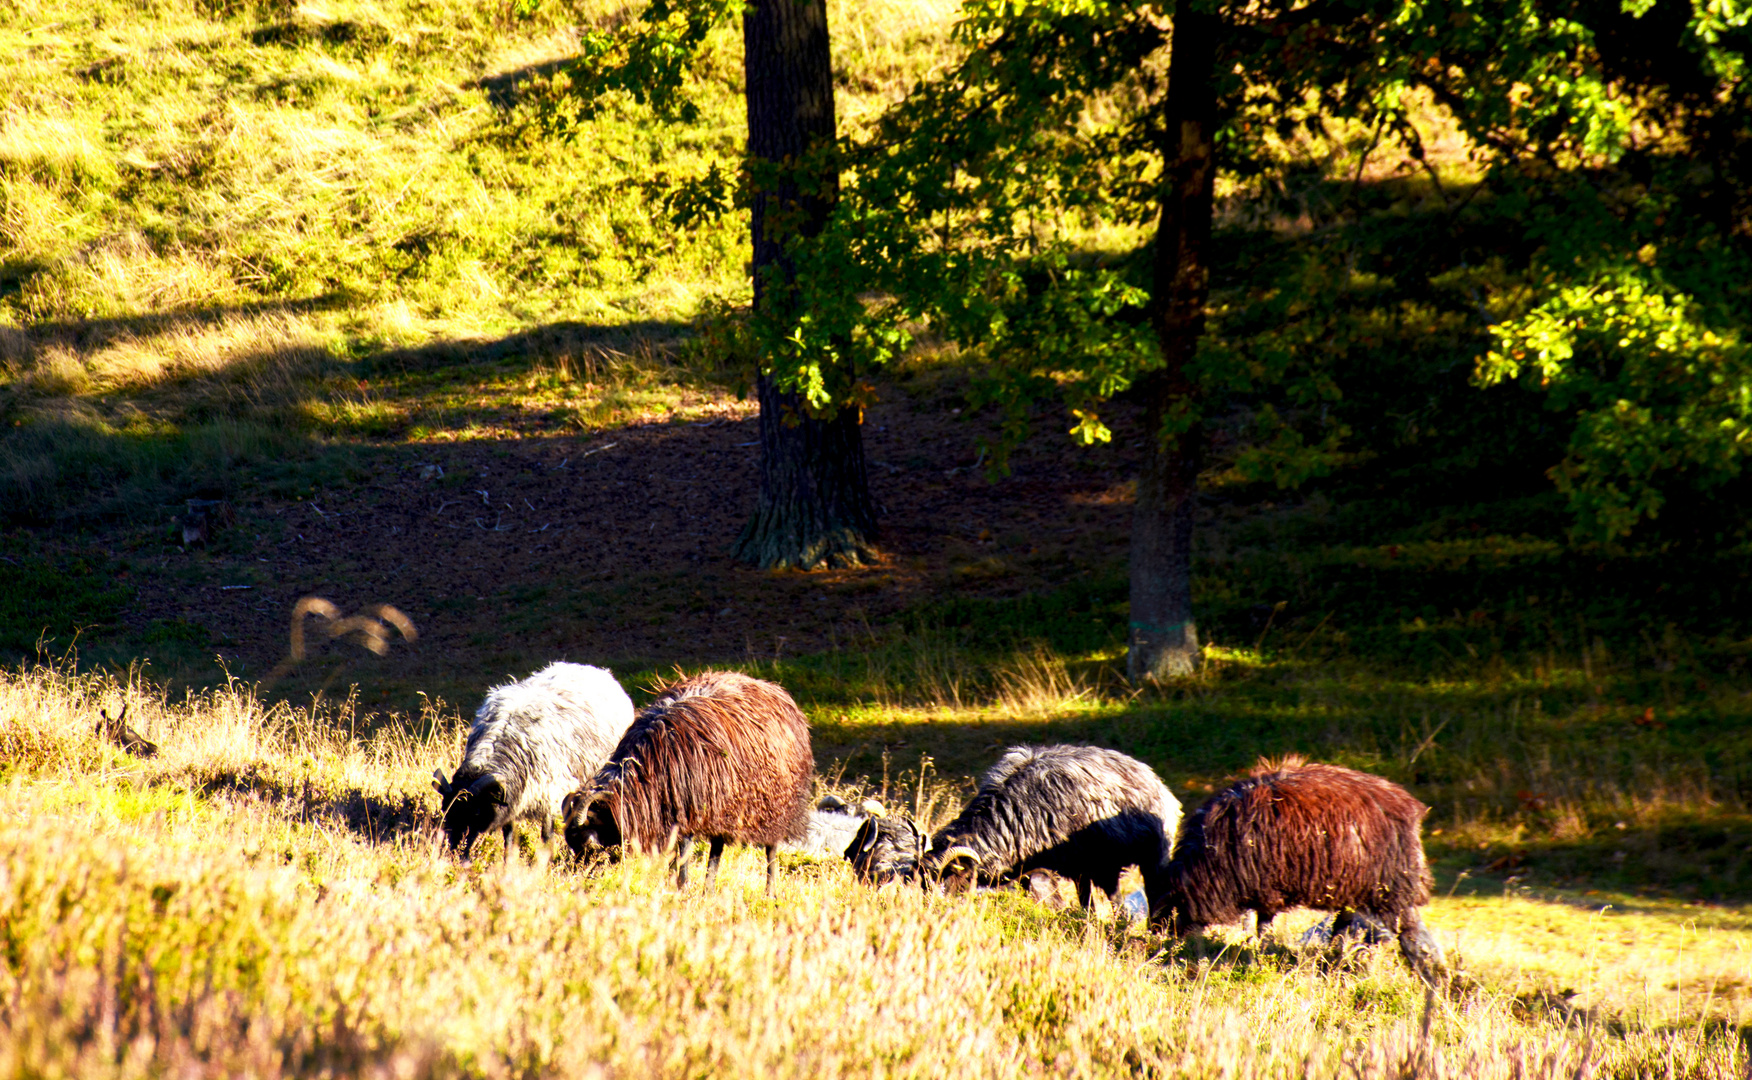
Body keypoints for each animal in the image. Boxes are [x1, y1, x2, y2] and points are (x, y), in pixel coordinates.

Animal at [432, 662, 637, 866]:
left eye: (476, 812)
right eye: (446, 810)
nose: (456, 854)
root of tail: (596, 670)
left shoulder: (549, 797)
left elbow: (547, 837)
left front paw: (545, 865)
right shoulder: (513, 801)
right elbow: (509, 836)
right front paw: (508, 864)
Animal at [560, 673, 812, 894]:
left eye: (589, 844)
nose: (580, 879)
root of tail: (776, 691)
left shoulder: (687, 811)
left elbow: (683, 851)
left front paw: (681, 886)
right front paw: (676, 885)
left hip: (777, 805)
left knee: (771, 848)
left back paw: (770, 892)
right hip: (724, 807)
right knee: (717, 847)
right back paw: (709, 889)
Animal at [1142, 760, 1443, 981]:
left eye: (1167, 910)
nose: (1158, 939)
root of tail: (1410, 808)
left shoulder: (1264, 887)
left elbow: (1263, 926)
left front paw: (1259, 957)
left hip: (1389, 885)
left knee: (1412, 936)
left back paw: (1430, 976)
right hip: (1355, 886)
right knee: (1345, 925)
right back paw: (1334, 961)